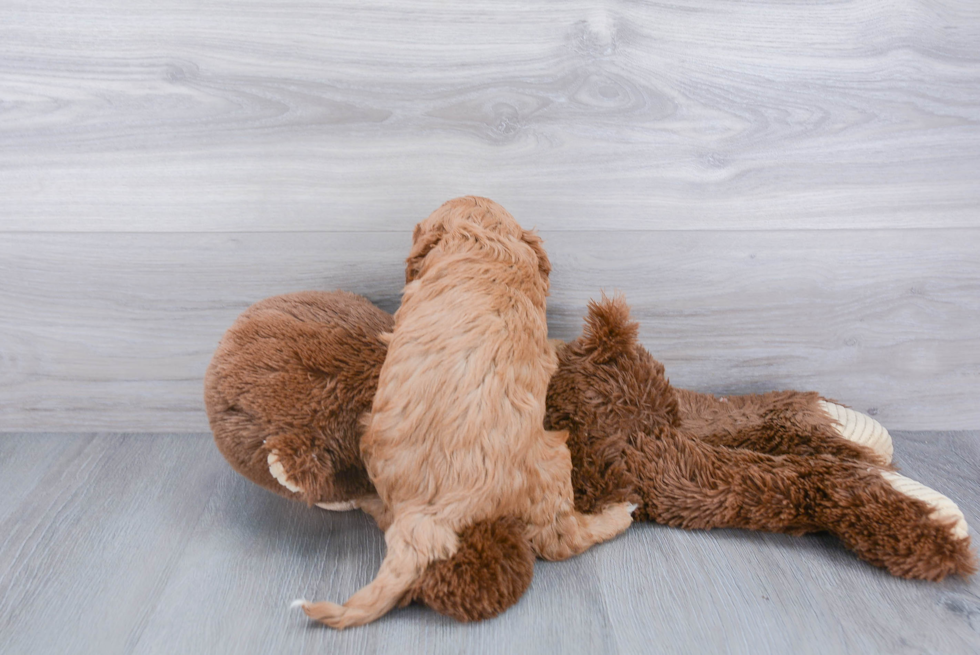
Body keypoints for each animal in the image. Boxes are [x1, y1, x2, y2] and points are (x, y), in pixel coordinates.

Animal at [298, 196, 636, 632]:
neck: (484, 242)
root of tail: (435, 514)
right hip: (554, 462)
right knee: (562, 539)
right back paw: (620, 513)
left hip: (370, 438)